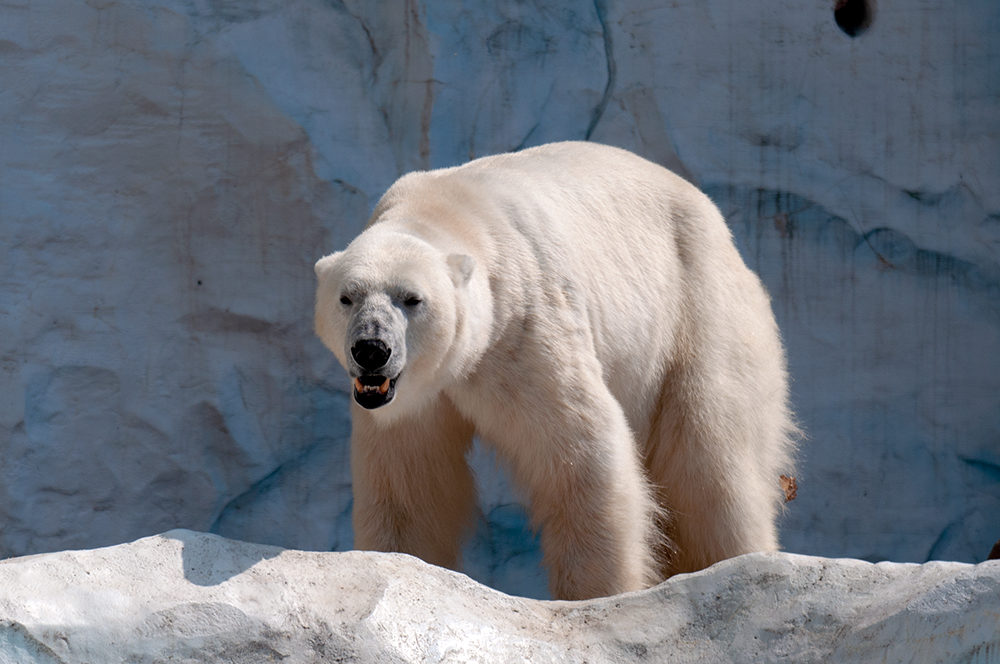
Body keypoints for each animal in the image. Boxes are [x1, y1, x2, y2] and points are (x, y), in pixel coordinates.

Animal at [314, 143, 796, 600]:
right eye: (347, 297)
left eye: (412, 298)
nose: (372, 349)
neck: (450, 209)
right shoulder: (414, 400)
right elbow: (408, 481)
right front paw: (395, 562)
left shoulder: (524, 327)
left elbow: (580, 450)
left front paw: (596, 596)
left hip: (698, 309)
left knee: (710, 456)